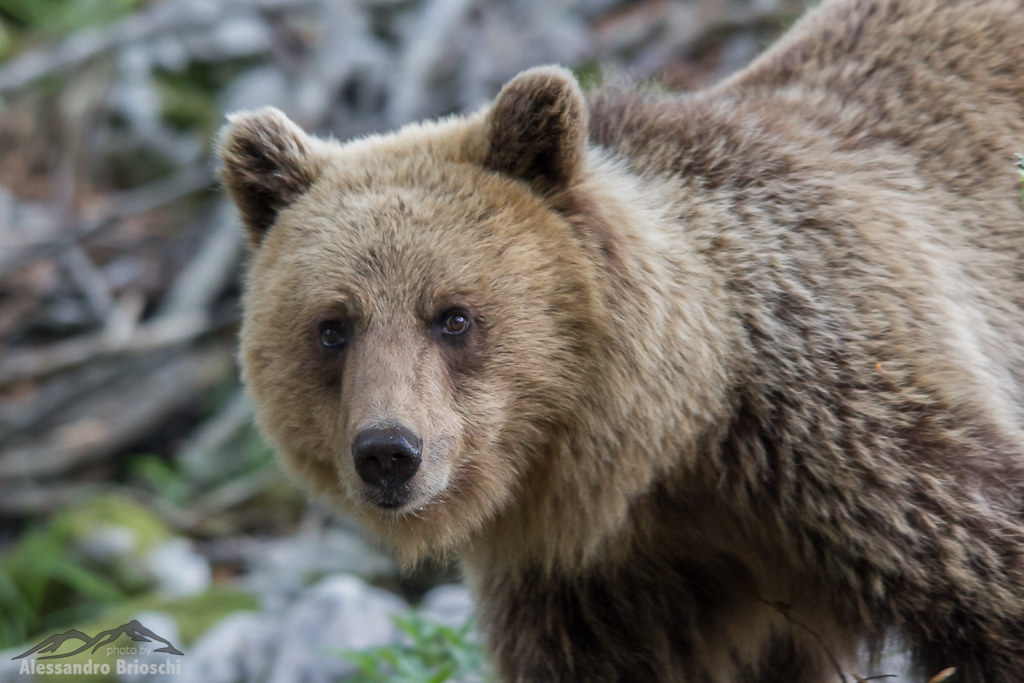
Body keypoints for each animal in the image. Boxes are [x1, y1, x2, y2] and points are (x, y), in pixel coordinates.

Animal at [216, 0, 1024, 680]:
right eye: (332, 326)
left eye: (453, 315)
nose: (389, 451)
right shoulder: (593, 589)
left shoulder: (850, 429)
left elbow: (988, 570)